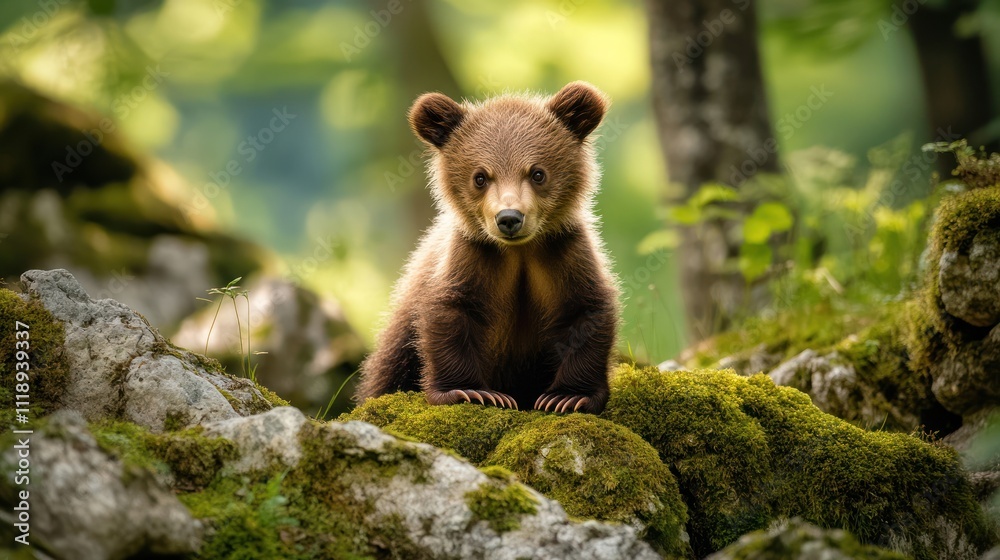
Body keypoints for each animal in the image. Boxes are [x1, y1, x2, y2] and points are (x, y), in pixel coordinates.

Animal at [355, 81, 620, 414]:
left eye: (537, 173)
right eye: (480, 177)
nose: (509, 218)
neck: (520, 251)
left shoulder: (563, 252)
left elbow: (585, 310)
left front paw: (567, 397)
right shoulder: (473, 256)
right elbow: (452, 312)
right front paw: (471, 391)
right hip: (399, 337)